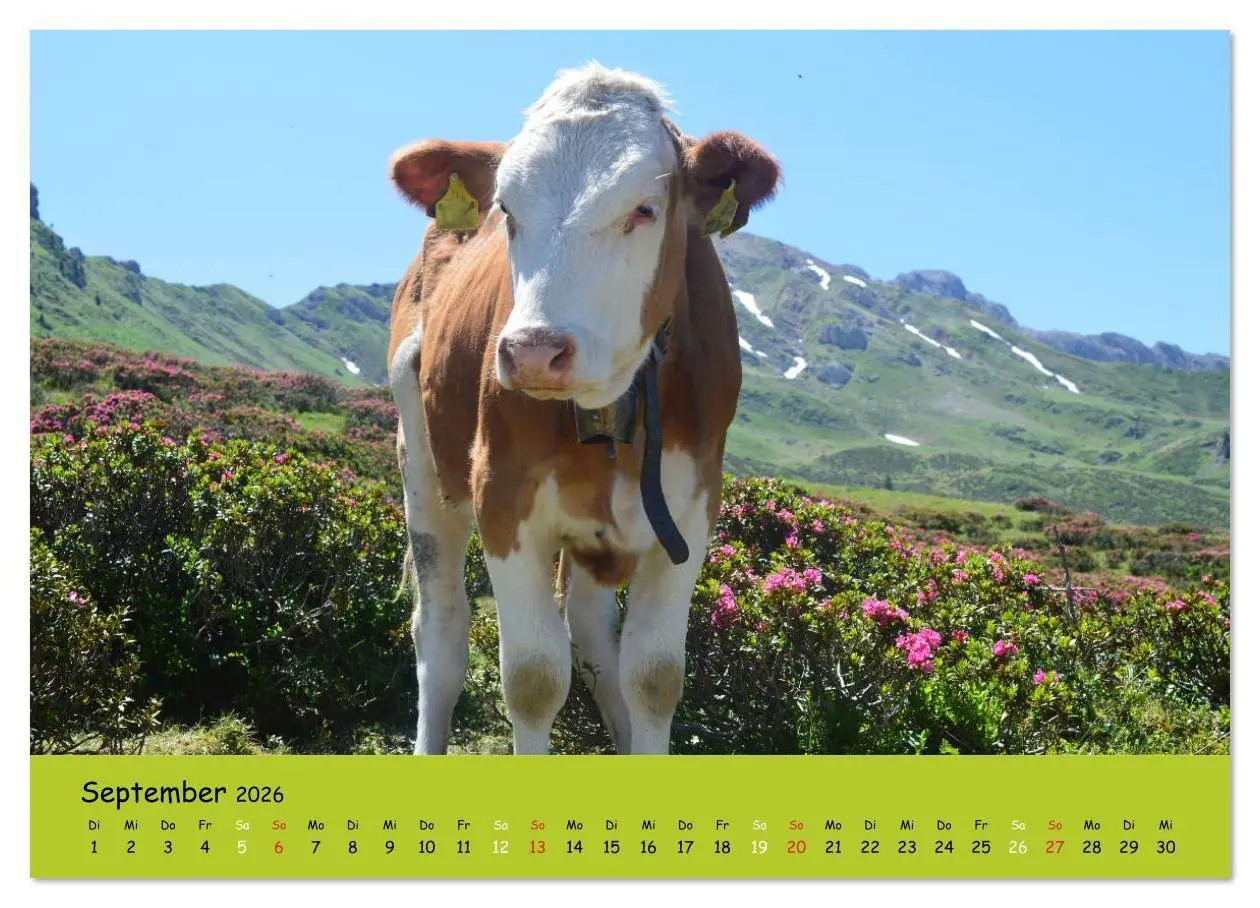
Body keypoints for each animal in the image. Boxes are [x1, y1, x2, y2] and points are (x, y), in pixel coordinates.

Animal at [386, 63, 780, 755]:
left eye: (644, 209)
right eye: (507, 210)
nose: (533, 351)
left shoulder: (692, 508)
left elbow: (653, 678)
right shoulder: (502, 496)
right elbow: (533, 679)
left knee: (593, 633)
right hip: (424, 467)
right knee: (440, 629)